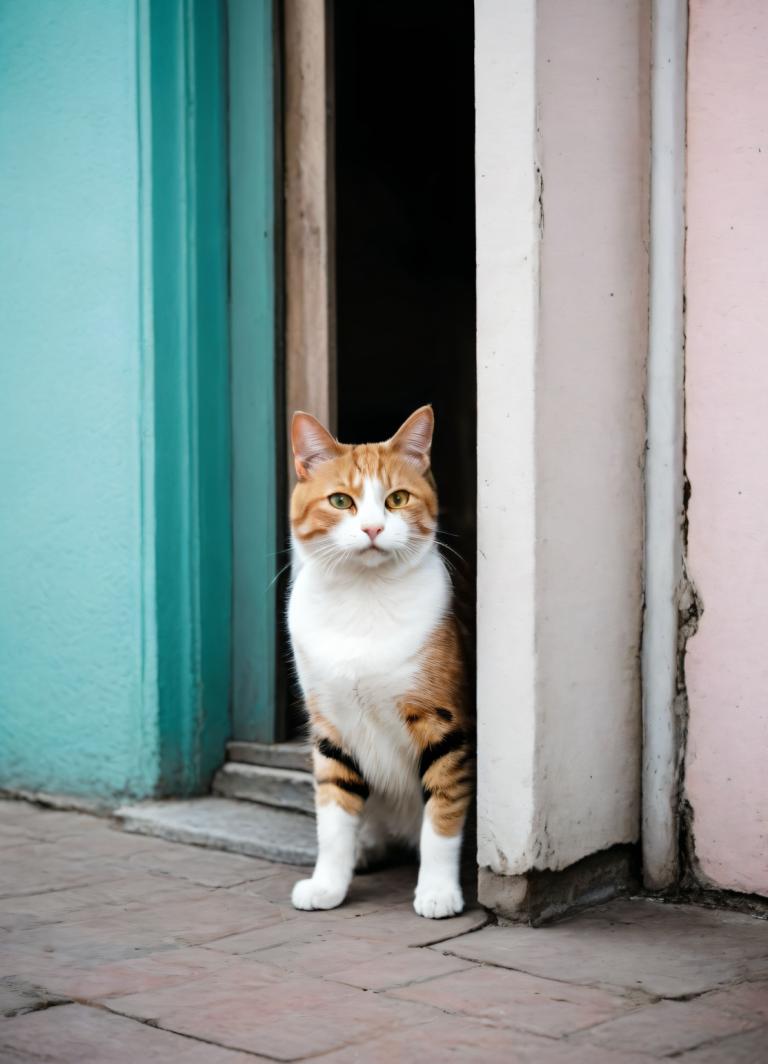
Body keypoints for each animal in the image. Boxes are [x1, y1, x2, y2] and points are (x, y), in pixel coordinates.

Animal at [285, 402, 470, 919]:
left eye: (397, 498)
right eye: (340, 501)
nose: (372, 529)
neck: (362, 596)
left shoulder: (443, 722)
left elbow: (443, 812)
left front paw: (438, 891)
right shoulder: (330, 726)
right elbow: (333, 816)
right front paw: (328, 884)